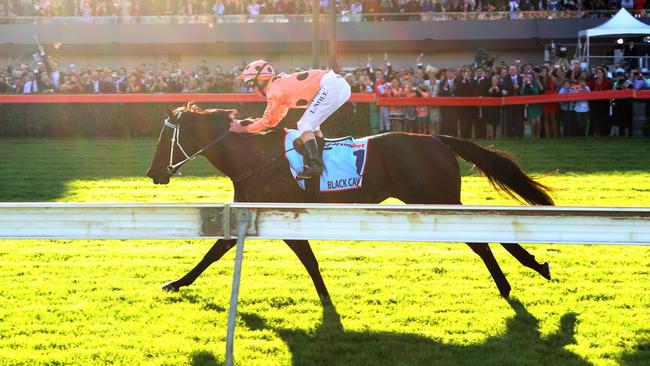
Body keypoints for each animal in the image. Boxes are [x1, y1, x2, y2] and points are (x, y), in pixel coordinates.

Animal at [148, 104, 552, 298]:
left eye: (164, 140)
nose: (153, 172)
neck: (255, 158)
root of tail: (437, 138)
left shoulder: (283, 214)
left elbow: (307, 259)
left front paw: (326, 299)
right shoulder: (248, 215)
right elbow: (215, 251)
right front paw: (177, 283)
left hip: (436, 198)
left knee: (479, 240)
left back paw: (512, 281)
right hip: (440, 199)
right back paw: (531, 266)